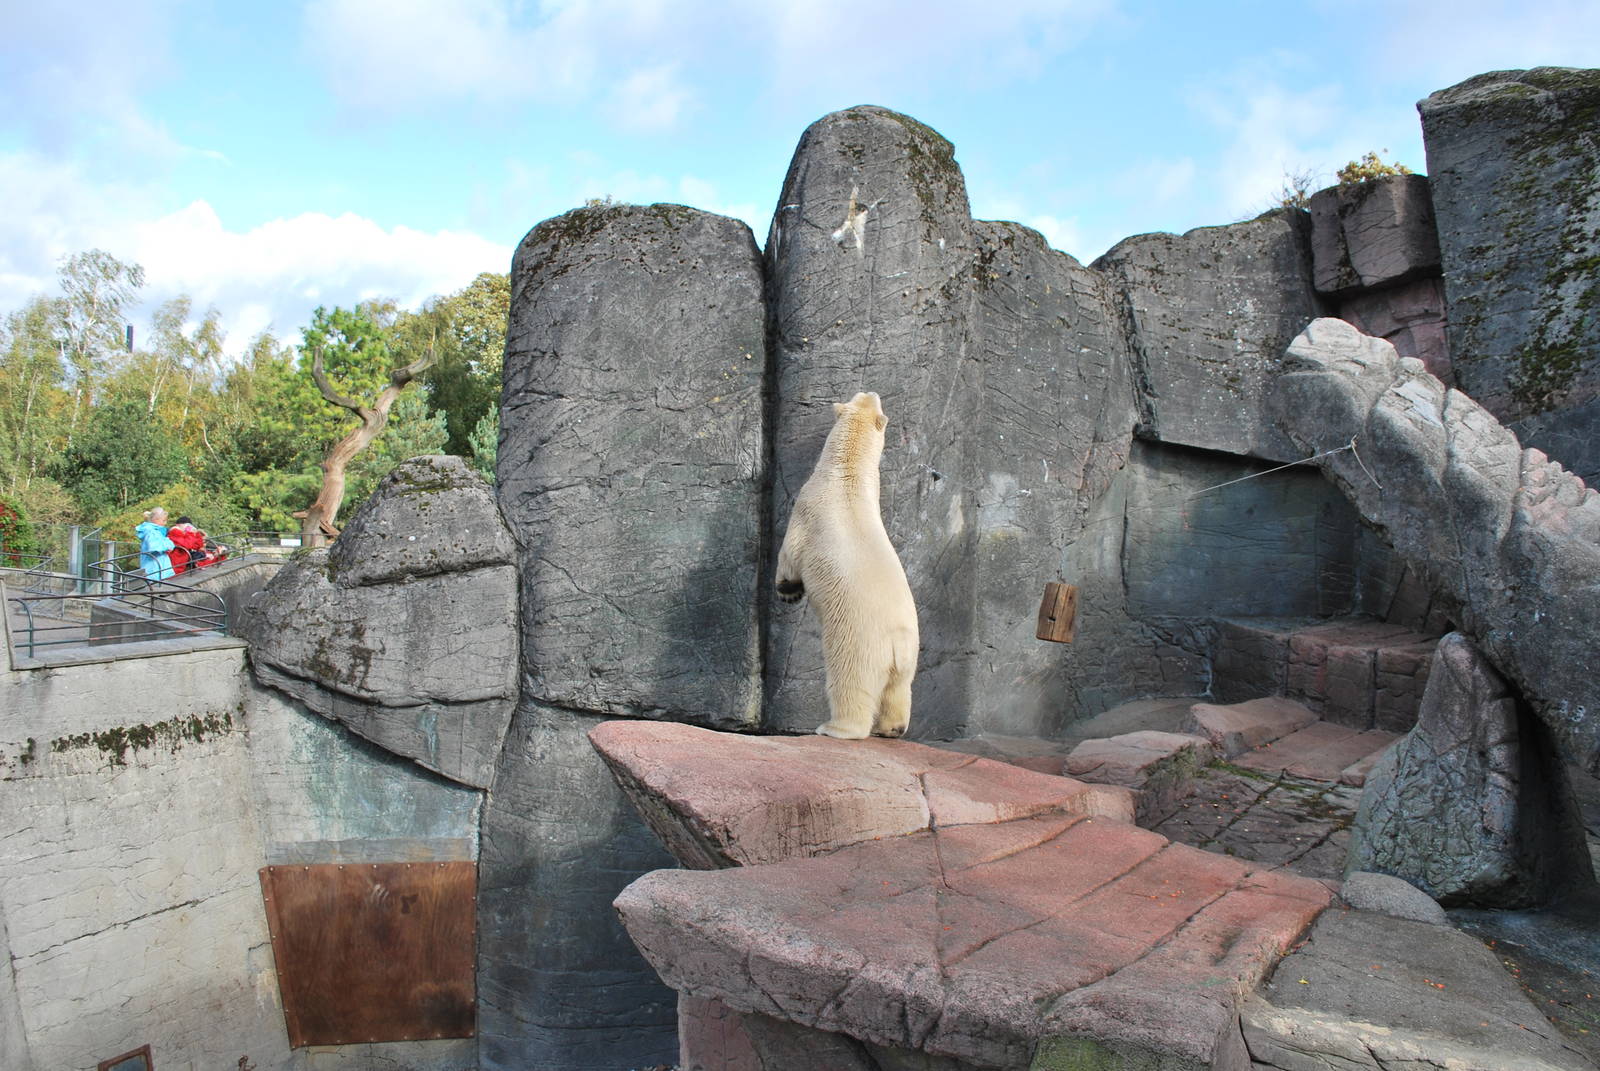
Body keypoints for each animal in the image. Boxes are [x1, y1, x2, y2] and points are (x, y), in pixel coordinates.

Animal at [775, 391, 919, 739]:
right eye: (865, 396)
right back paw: (892, 729)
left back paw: (834, 728)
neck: (846, 477)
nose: (872, 391)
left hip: (857, 643)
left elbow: (790, 554)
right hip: (909, 657)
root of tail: (896, 644)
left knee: (850, 683)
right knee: (898, 690)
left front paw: (788, 591)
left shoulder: (807, 507)